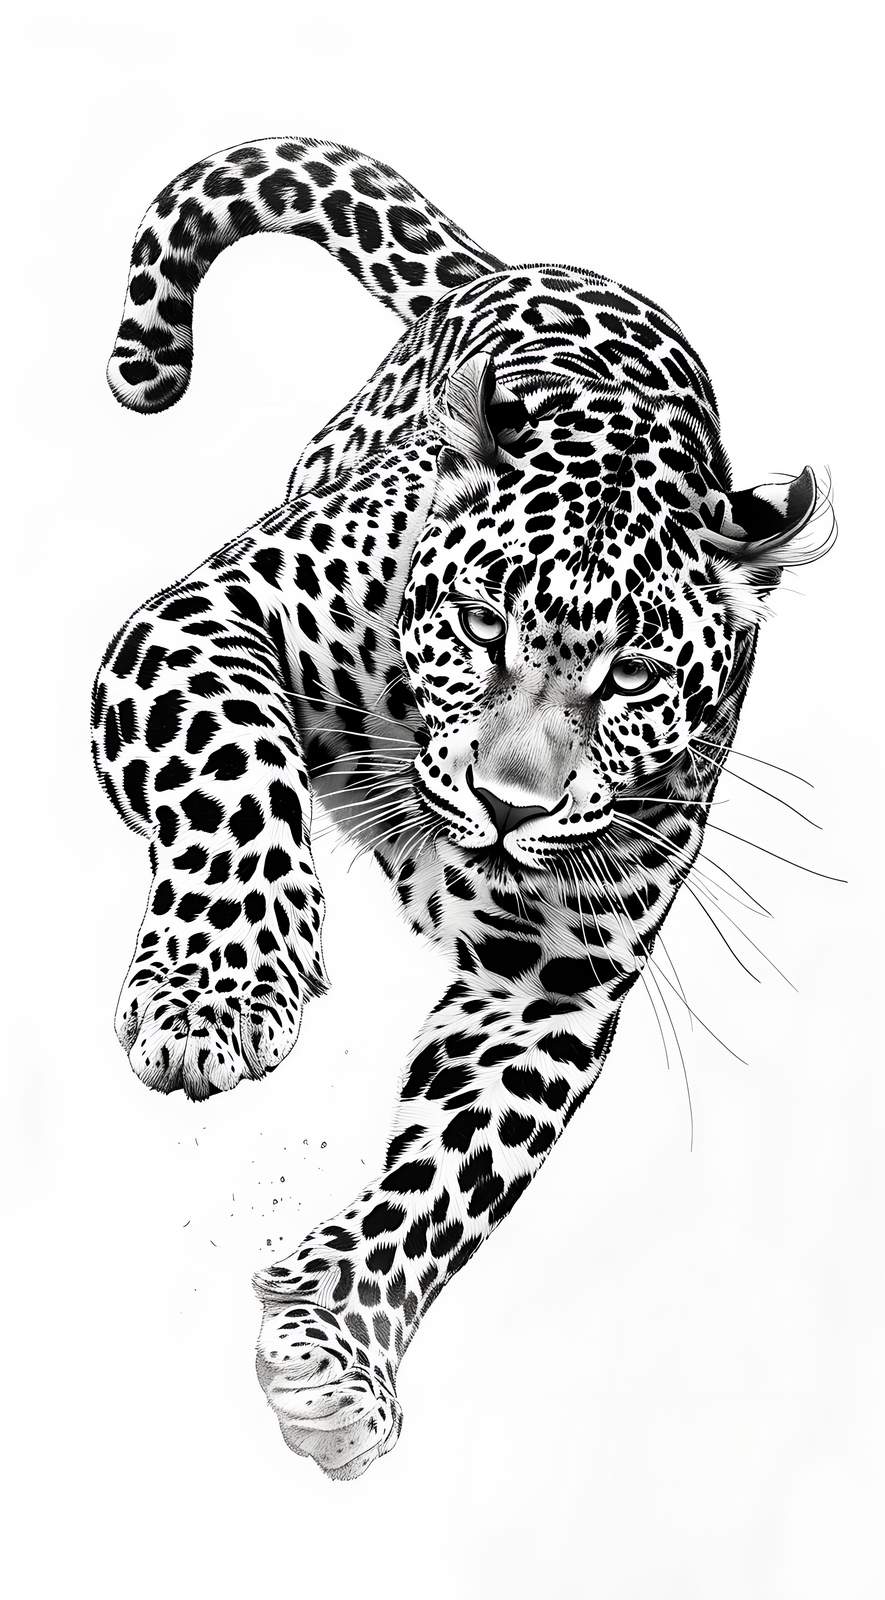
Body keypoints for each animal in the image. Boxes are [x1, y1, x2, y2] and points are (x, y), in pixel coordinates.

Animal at [93, 136, 835, 1480]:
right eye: (483, 623)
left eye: (633, 676)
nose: (504, 803)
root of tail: (527, 263)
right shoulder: (201, 618)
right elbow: (236, 774)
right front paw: (216, 994)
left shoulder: (550, 981)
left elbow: (454, 1171)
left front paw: (338, 1345)